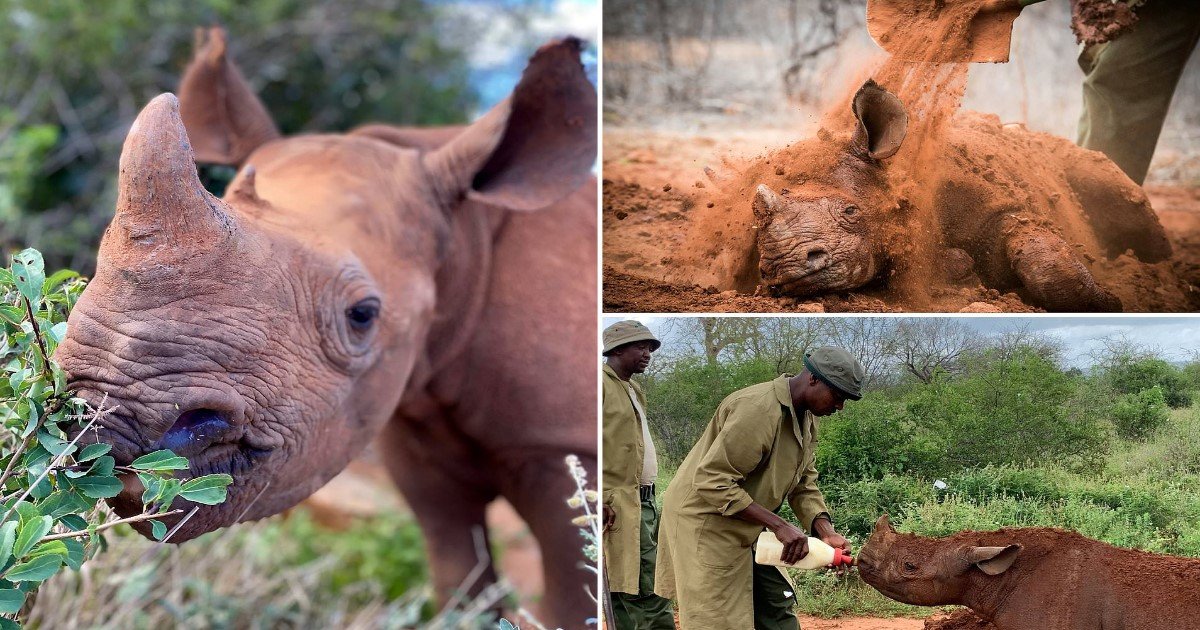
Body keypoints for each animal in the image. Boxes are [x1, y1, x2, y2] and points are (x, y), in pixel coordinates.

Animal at [748, 79, 1171, 309]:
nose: (782, 266)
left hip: (1076, 161)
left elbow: (1046, 264)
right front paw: (960, 272)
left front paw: (1109, 302)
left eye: (852, 212)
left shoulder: (1005, 208)